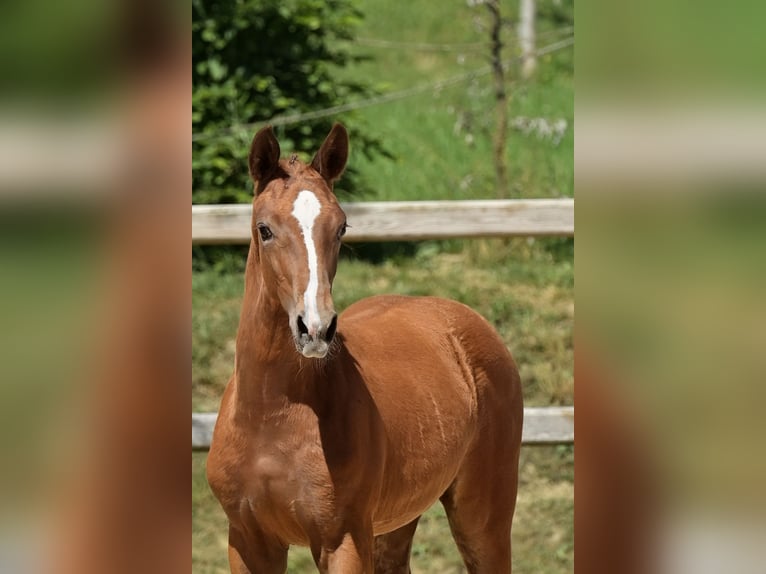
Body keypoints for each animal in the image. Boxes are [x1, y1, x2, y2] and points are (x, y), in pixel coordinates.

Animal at [206, 123, 524, 573]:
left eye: (341, 228)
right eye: (264, 229)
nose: (315, 328)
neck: (272, 414)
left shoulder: (344, 540)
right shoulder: (248, 541)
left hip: (482, 516)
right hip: (397, 521)